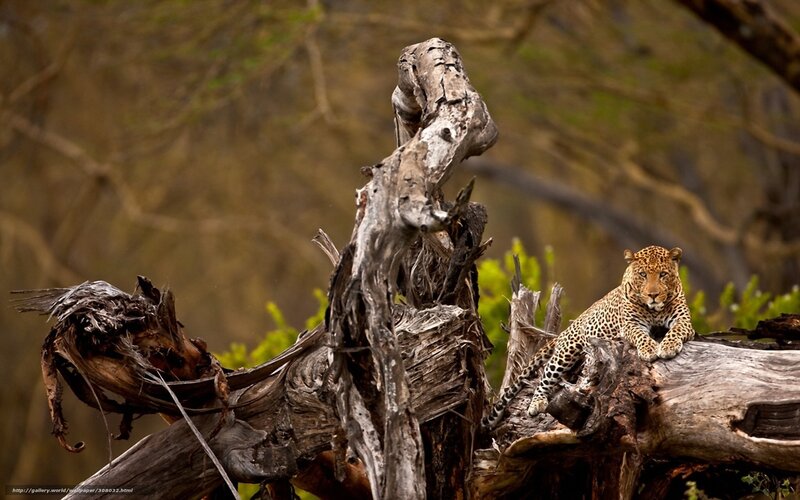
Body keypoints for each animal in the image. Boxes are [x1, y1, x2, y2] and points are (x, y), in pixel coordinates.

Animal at [482, 245, 694, 430]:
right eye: (642, 275)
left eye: (663, 274)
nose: (653, 295)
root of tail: (568, 328)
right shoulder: (630, 325)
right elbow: (641, 335)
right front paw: (650, 349)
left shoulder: (684, 321)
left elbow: (676, 331)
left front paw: (668, 346)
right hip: (566, 351)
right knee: (546, 373)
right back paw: (537, 402)